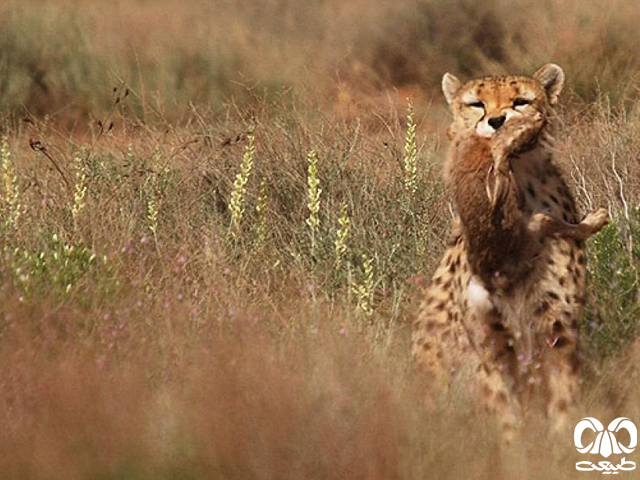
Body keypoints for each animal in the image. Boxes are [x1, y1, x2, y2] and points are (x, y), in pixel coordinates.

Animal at [412, 62, 608, 432]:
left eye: (520, 101)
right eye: (477, 103)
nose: (497, 121)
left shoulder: (558, 322)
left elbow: (563, 397)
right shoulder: (490, 339)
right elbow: (503, 407)